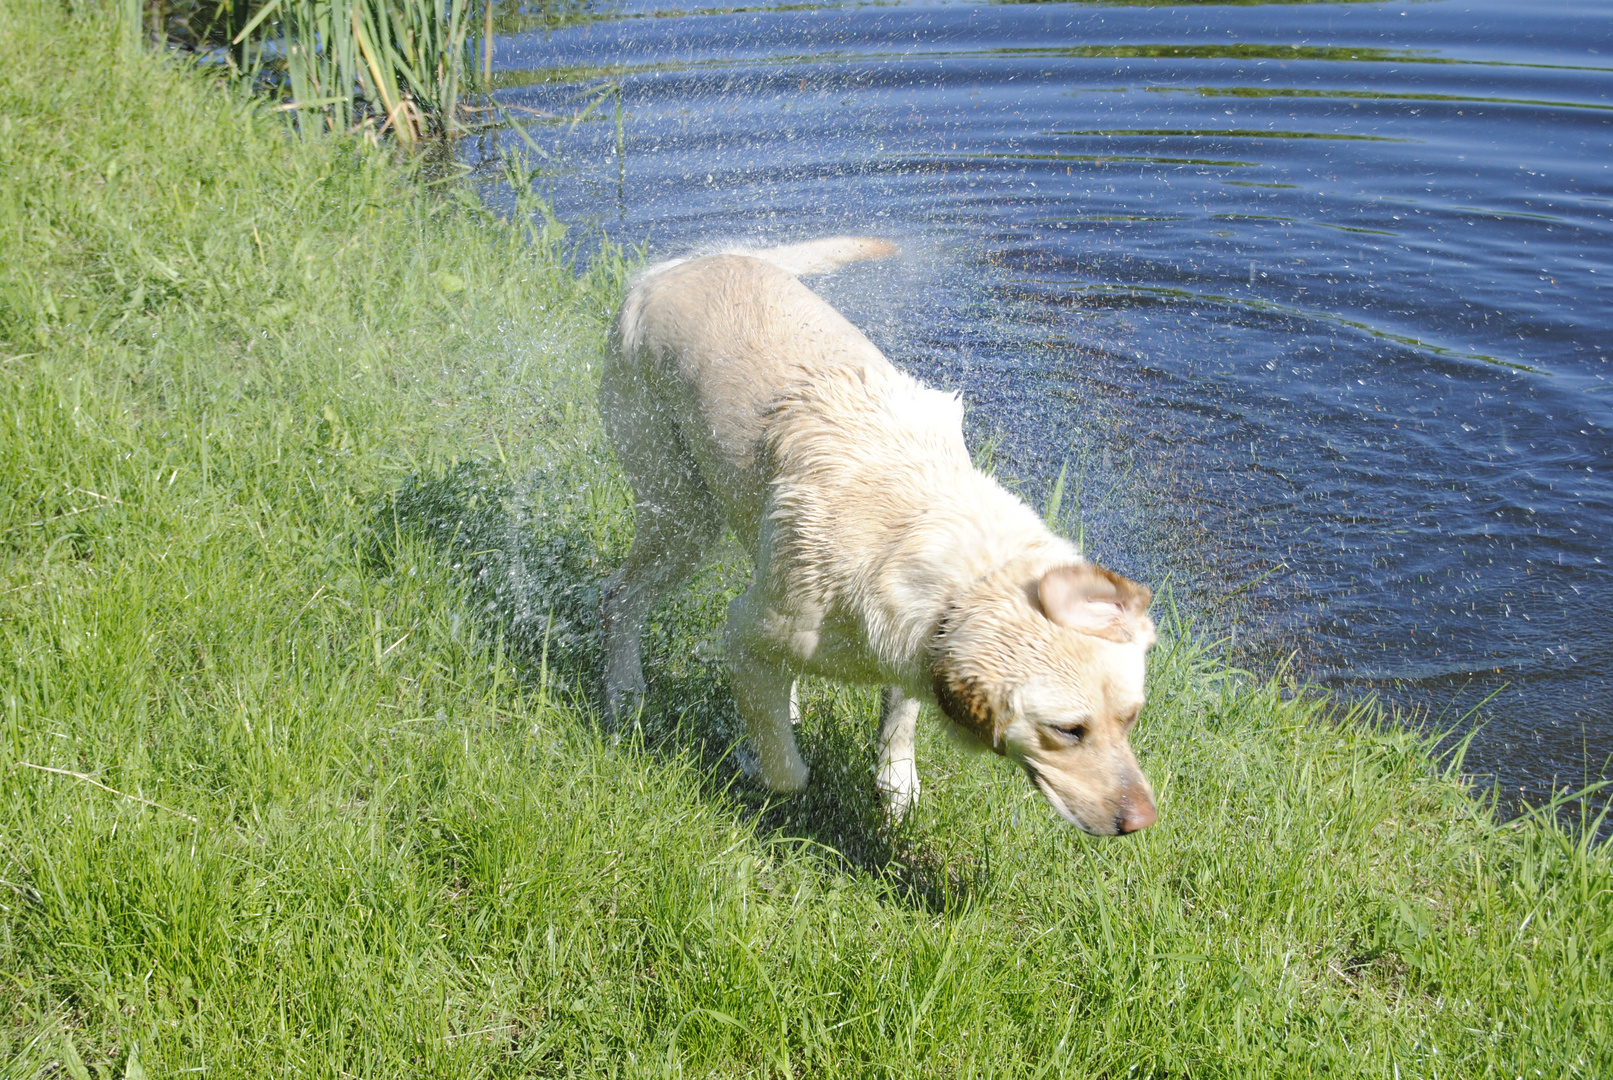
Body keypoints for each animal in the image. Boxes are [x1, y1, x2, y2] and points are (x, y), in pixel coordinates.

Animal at [600, 238, 1154, 838]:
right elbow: (788, 772)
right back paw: (624, 694)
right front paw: (756, 760)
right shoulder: (746, 632)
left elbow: (898, 720)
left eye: (1131, 718)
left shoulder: (912, 645)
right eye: (1068, 730)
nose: (1143, 819)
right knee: (619, 599)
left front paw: (896, 788)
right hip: (681, 511)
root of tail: (673, 268)